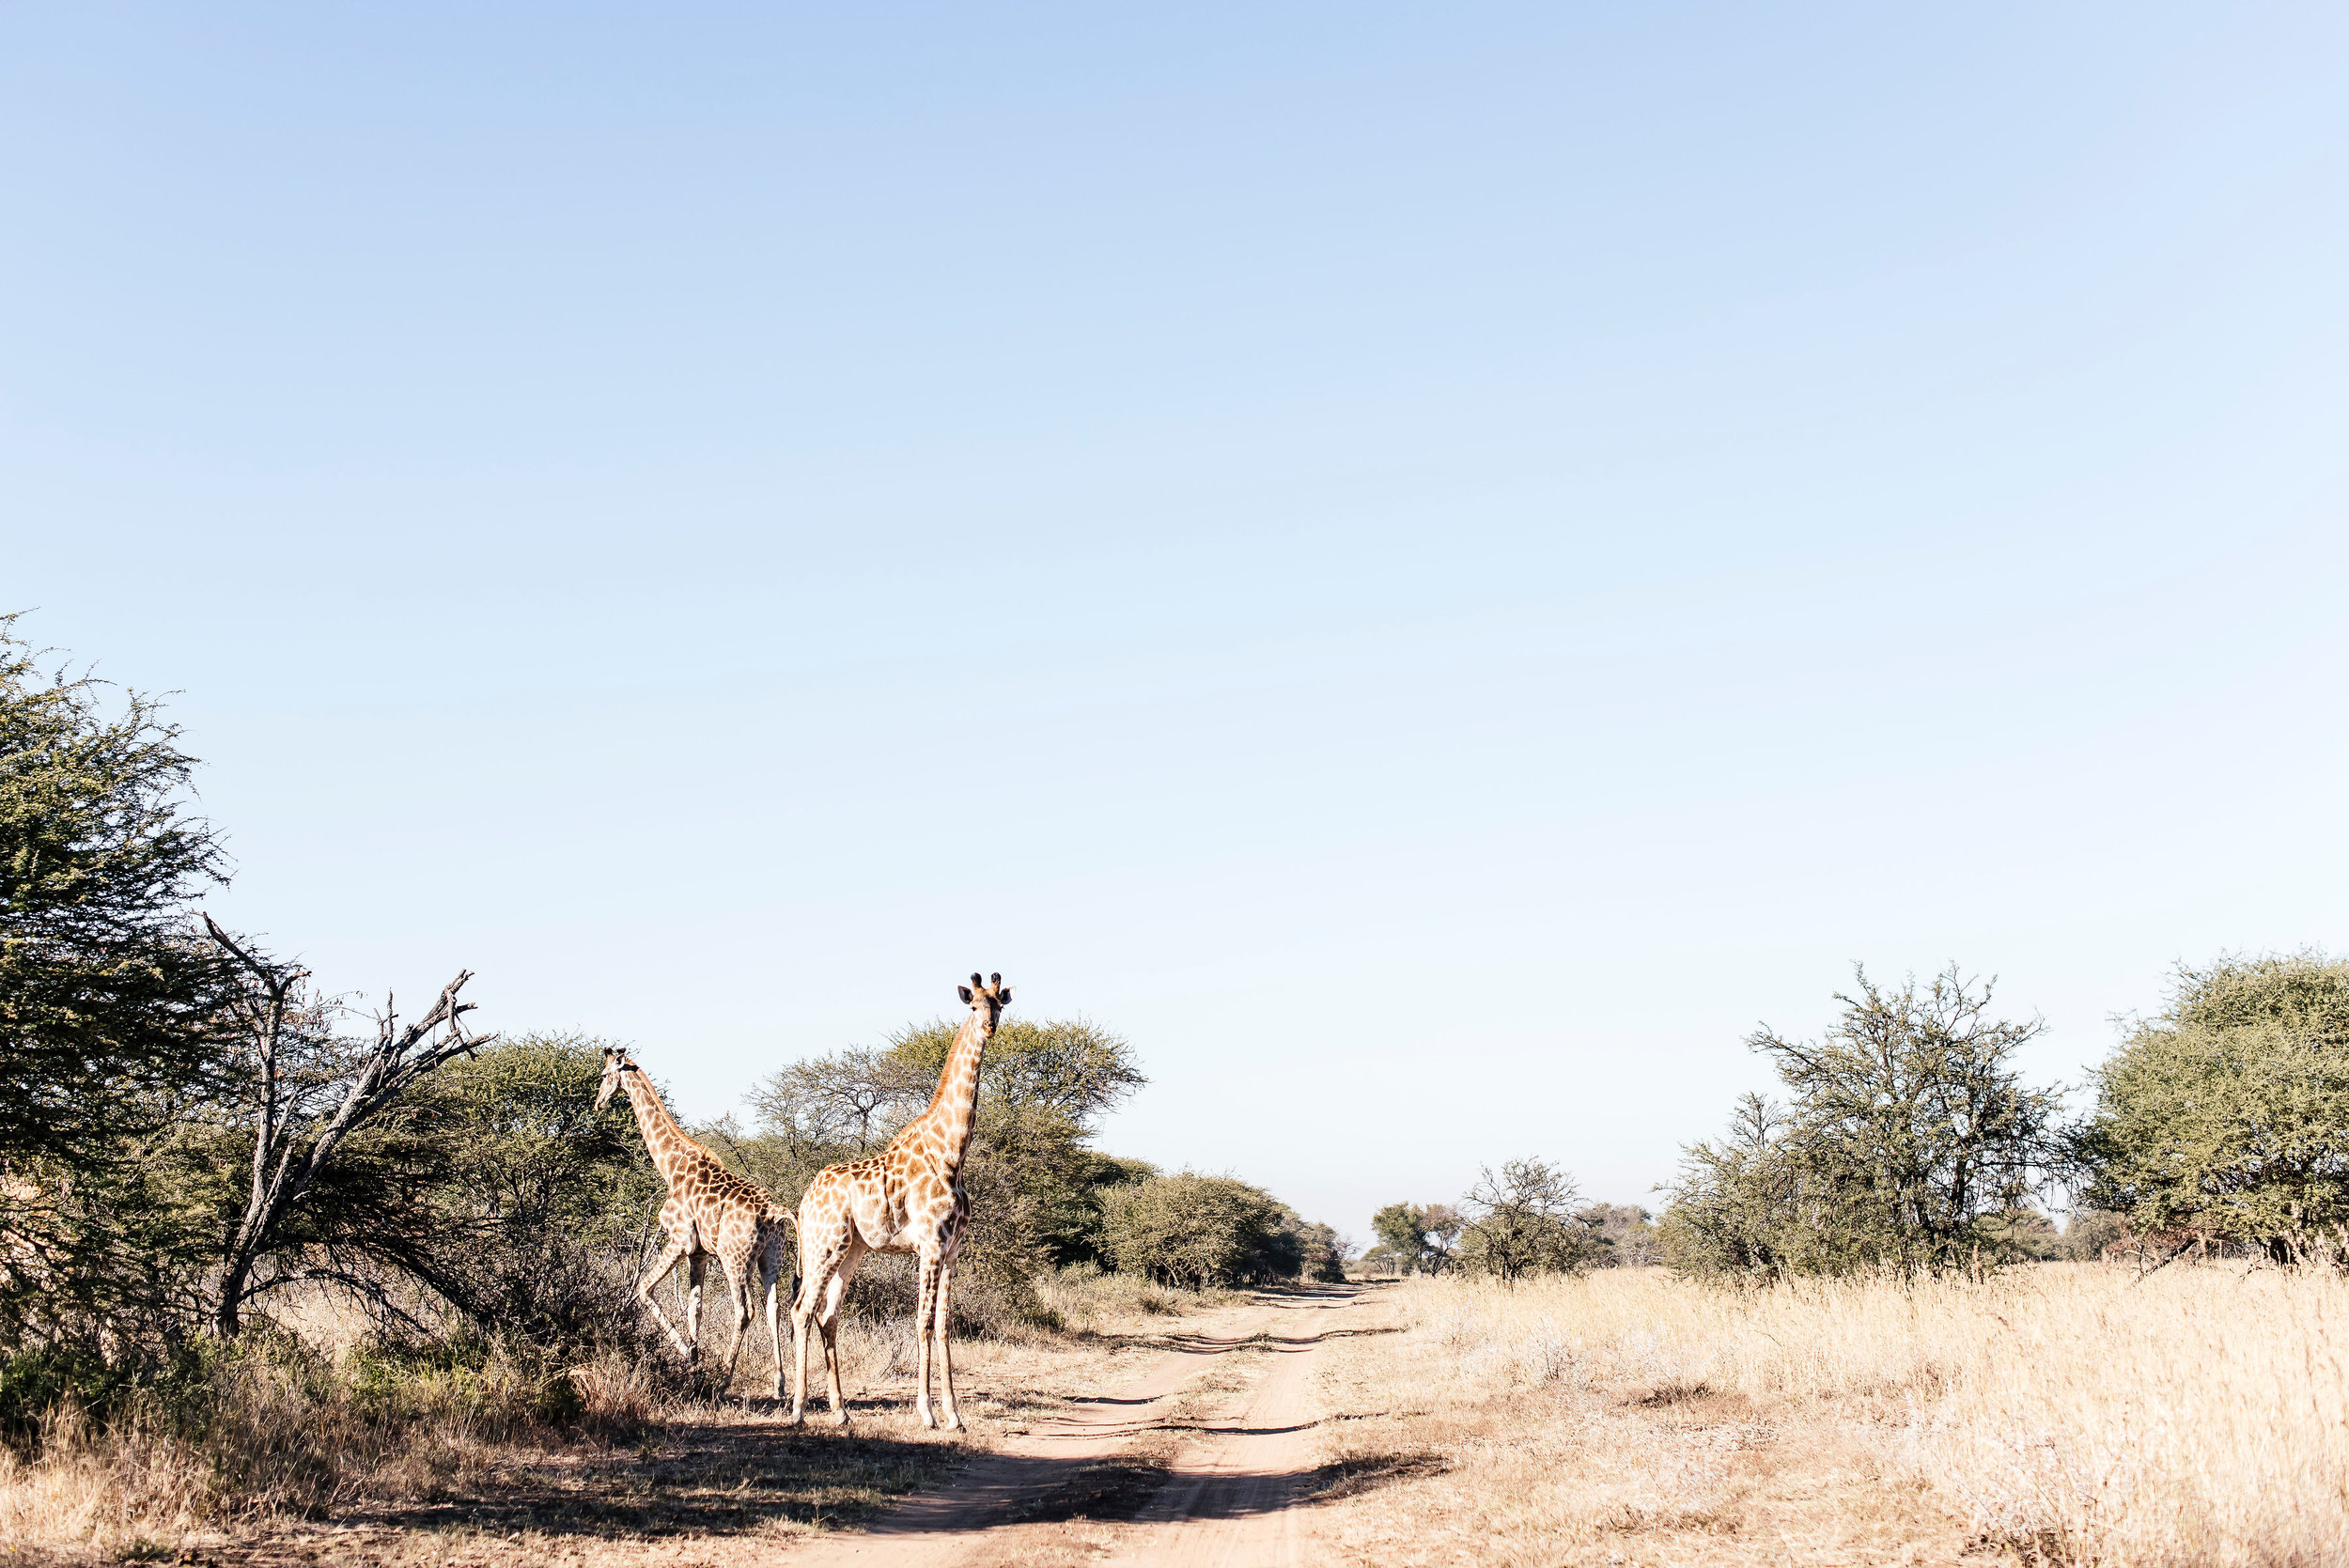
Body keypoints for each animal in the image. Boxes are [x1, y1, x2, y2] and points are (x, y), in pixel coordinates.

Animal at [597, 1051, 799, 1399]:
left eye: (606, 1075)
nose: (597, 1102)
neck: (671, 1166)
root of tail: (773, 1211)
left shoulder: (679, 1239)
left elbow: (644, 1289)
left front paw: (687, 1355)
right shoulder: (700, 1252)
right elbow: (695, 1307)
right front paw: (693, 1363)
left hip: (734, 1259)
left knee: (745, 1310)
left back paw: (724, 1381)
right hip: (771, 1257)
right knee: (773, 1308)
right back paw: (779, 1385)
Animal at [789, 971, 1010, 1427]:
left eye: (1000, 1004)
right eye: (973, 1005)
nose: (989, 1027)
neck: (952, 1153)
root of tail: (804, 1201)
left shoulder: (953, 1249)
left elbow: (943, 1325)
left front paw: (954, 1416)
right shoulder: (929, 1244)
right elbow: (923, 1322)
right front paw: (927, 1413)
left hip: (851, 1249)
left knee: (828, 1316)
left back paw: (841, 1412)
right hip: (824, 1245)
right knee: (802, 1310)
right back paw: (799, 1410)